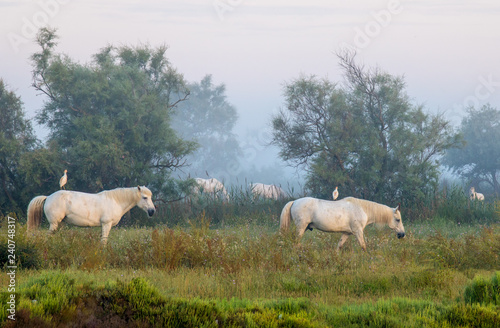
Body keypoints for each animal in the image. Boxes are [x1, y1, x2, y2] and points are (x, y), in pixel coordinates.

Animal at [27, 186, 155, 242]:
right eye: (145, 197)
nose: (152, 211)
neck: (115, 201)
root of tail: (48, 197)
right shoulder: (106, 224)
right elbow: (104, 240)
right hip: (54, 224)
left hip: (60, 224)